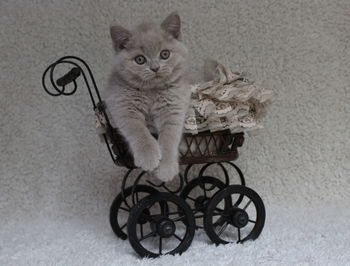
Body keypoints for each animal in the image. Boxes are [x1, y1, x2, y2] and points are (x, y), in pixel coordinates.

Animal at [104, 13, 191, 183]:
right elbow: (138, 130)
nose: (155, 68)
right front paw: (148, 157)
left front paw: (166, 169)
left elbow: (170, 137)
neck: (151, 92)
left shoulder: (174, 107)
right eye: (140, 59)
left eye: (165, 54)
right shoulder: (122, 105)